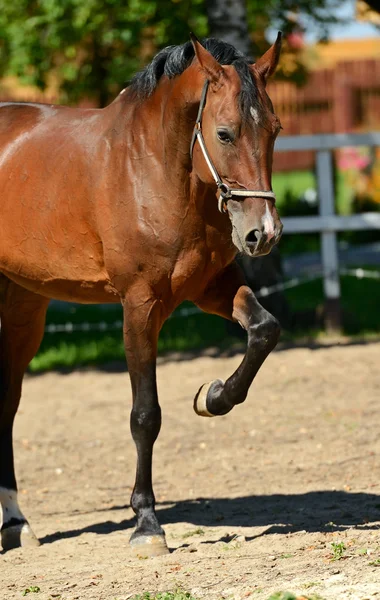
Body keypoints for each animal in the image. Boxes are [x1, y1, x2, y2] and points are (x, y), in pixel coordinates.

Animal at [0, 34, 282, 556]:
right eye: (225, 133)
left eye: (275, 129)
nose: (263, 234)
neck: (153, 169)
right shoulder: (139, 305)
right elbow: (145, 415)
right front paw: (148, 523)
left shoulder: (210, 287)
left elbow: (264, 330)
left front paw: (212, 396)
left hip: (25, 305)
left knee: (6, 403)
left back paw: (15, 523)